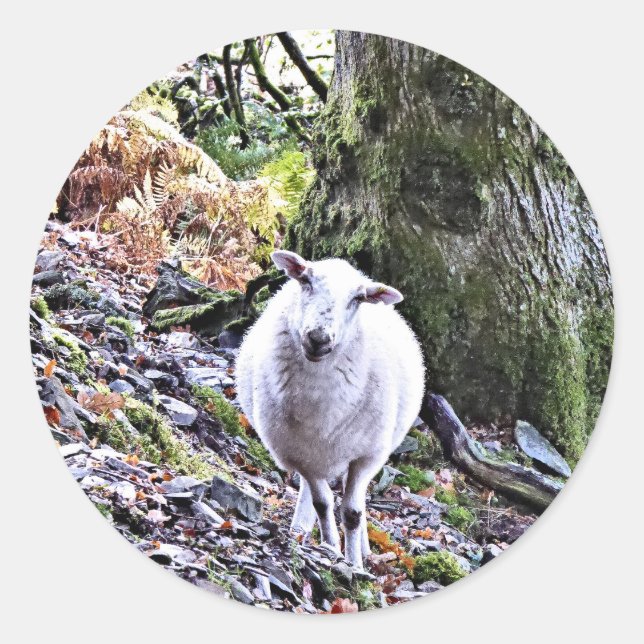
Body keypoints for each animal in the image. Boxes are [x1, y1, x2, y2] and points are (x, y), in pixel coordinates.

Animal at [235, 250, 425, 568]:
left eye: (358, 298)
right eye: (306, 281)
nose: (319, 339)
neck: (322, 409)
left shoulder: (366, 456)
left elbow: (352, 513)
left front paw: (355, 564)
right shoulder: (302, 456)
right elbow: (322, 504)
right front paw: (331, 548)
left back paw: (362, 548)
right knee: (308, 494)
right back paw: (299, 529)